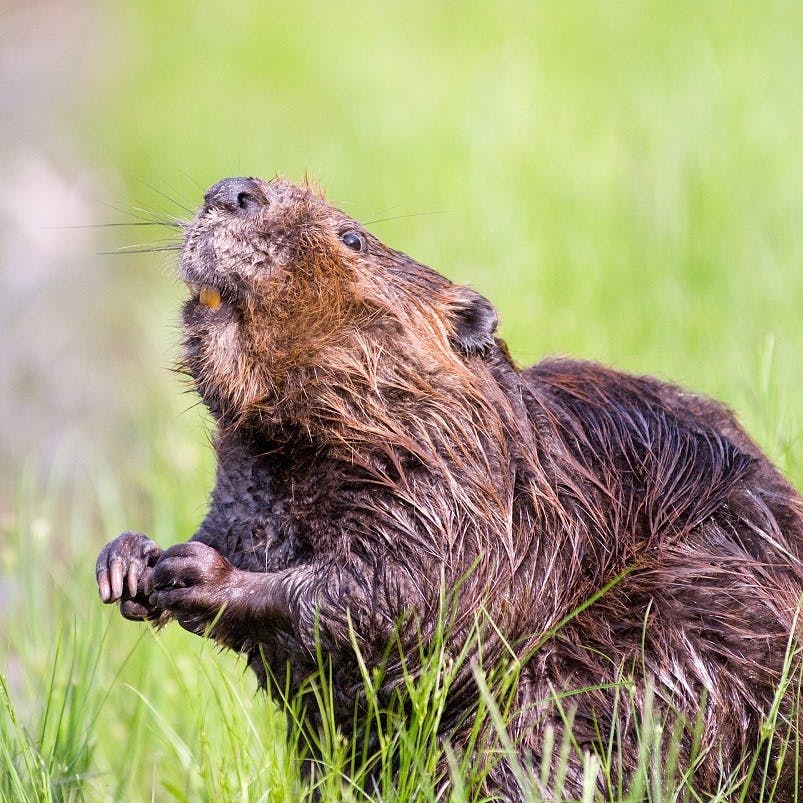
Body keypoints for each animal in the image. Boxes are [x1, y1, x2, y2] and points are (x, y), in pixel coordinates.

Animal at [97, 176, 803, 796]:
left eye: (352, 238)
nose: (231, 190)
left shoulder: (466, 495)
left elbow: (411, 595)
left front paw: (196, 572)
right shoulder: (251, 489)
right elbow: (239, 533)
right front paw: (128, 561)